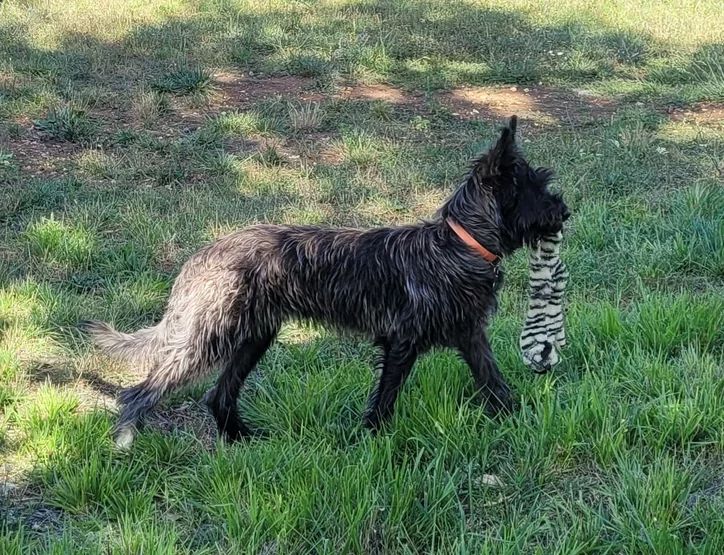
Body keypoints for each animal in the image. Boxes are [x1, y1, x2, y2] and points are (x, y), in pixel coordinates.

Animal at [82, 116, 572, 448]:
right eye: (536, 186)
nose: (564, 212)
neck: (459, 243)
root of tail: (203, 254)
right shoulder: (402, 343)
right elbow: (386, 397)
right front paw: (373, 440)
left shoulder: (470, 335)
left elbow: (493, 381)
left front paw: (516, 419)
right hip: (207, 339)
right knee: (144, 388)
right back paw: (126, 435)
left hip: (253, 338)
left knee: (218, 394)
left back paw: (241, 440)